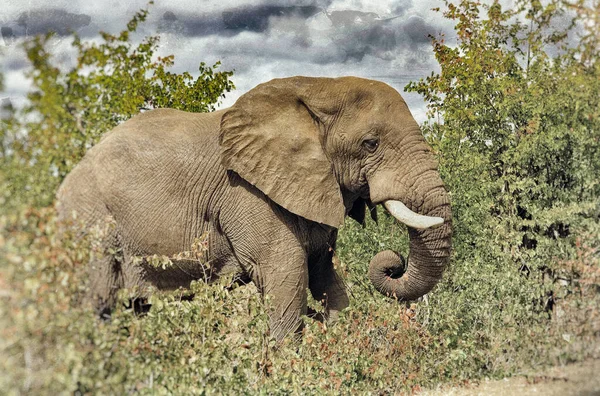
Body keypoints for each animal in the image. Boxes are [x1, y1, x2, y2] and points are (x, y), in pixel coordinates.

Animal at [56, 76, 452, 340]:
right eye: (371, 144)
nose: (393, 263)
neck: (316, 88)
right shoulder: (248, 194)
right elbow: (286, 274)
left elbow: (326, 275)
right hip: (90, 223)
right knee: (94, 303)